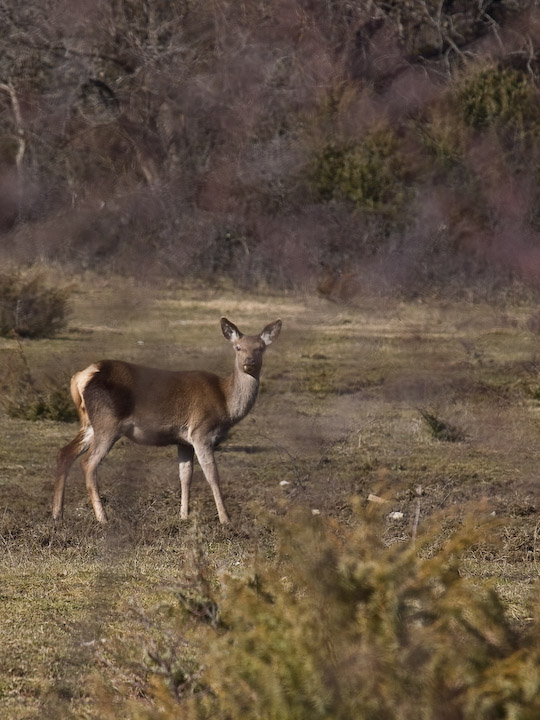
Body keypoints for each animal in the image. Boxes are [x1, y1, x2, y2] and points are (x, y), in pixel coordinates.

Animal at [53, 318, 282, 524]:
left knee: (65, 452)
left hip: (89, 423)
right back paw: (103, 518)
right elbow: (212, 474)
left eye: (261, 348)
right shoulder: (201, 432)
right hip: (108, 421)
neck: (225, 403)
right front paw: (226, 519)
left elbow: (185, 475)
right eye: (238, 347)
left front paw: (184, 516)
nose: (249, 363)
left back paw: (57, 515)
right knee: (88, 463)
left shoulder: (184, 440)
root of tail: (80, 377)